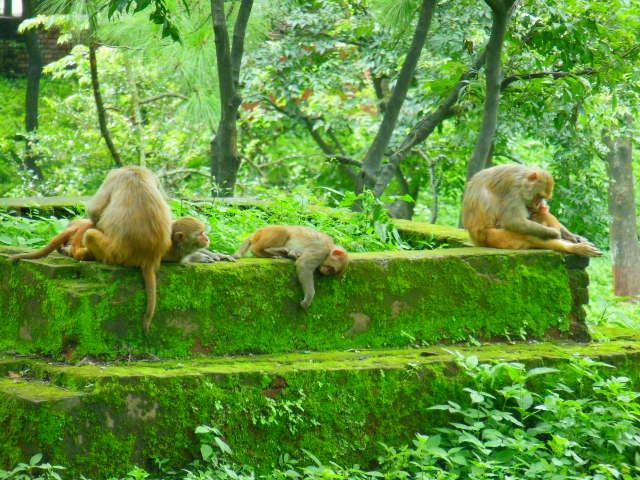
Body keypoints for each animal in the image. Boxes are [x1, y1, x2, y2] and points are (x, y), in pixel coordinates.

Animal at [84, 165, 172, 334]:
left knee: (90, 234)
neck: (134, 171)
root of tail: (150, 255)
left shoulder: (113, 177)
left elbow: (95, 210)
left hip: (115, 253)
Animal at [462, 163, 604, 256]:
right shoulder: (513, 190)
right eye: (539, 196)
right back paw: (574, 248)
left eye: (543, 197)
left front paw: (572, 236)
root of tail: (475, 239)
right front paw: (554, 233)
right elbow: (513, 221)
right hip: (490, 237)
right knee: (527, 234)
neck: (522, 178)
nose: (539, 204)